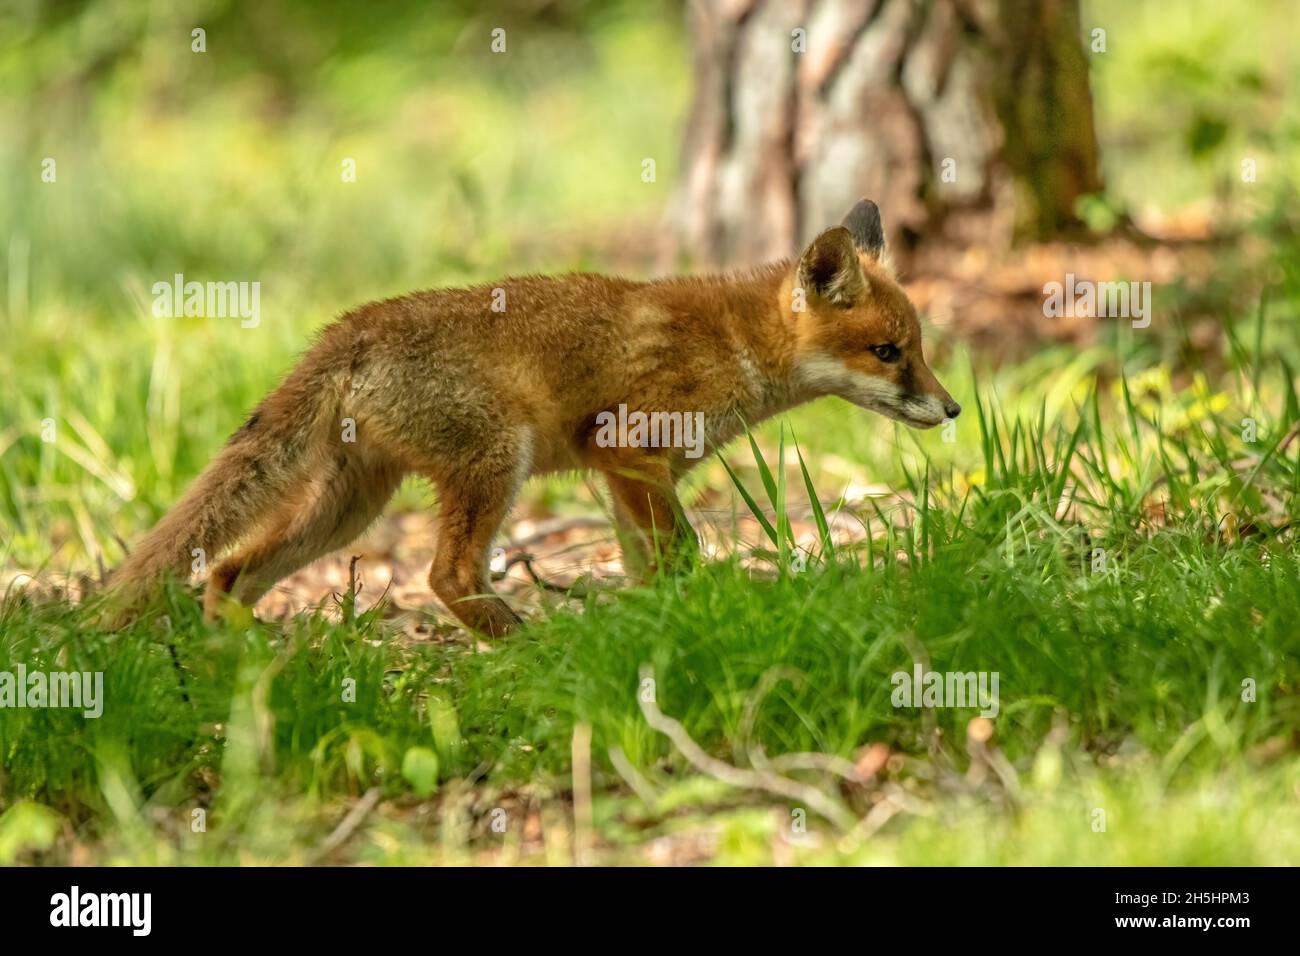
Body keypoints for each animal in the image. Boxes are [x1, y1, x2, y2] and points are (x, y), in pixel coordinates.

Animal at [109, 201, 956, 634]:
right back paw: (521, 643)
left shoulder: (626, 475)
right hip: (494, 463)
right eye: (888, 352)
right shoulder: (628, 447)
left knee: (228, 570)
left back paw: (250, 666)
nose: (950, 409)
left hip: (350, 507)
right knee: (445, 574)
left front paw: (654, 628)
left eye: (917, 349)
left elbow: (650, 567)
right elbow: (681, 555)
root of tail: (351, 326)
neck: (735, 342)